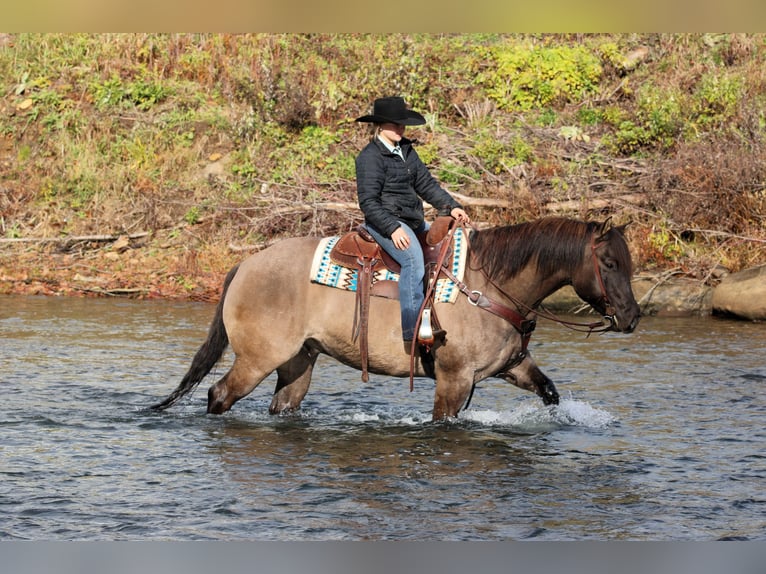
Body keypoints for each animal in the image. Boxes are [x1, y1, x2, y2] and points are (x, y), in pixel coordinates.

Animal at [151, 216, 641, 421]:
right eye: (609, 263)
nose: (632, 318)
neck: (490, 285)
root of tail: (246, 265)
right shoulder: (454, 379)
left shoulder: (512, 367)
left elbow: (550, 393)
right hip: (256, 359)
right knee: (219, 395)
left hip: (298, 361)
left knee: (283, 404)